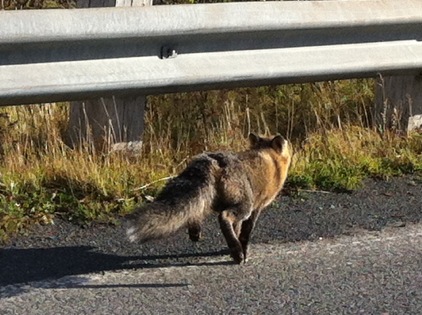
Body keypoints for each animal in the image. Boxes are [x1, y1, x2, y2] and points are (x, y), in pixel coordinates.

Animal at [125, 133, 290, 264]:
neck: (271, 160)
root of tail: (213, 160)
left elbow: (237, 229)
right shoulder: (257, 207)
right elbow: (245, 233)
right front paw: (242, 248)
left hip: (208, 199)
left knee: (195, 213)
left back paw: (197, 233)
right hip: (244, 206)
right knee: (223, 217)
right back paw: (237, 252)